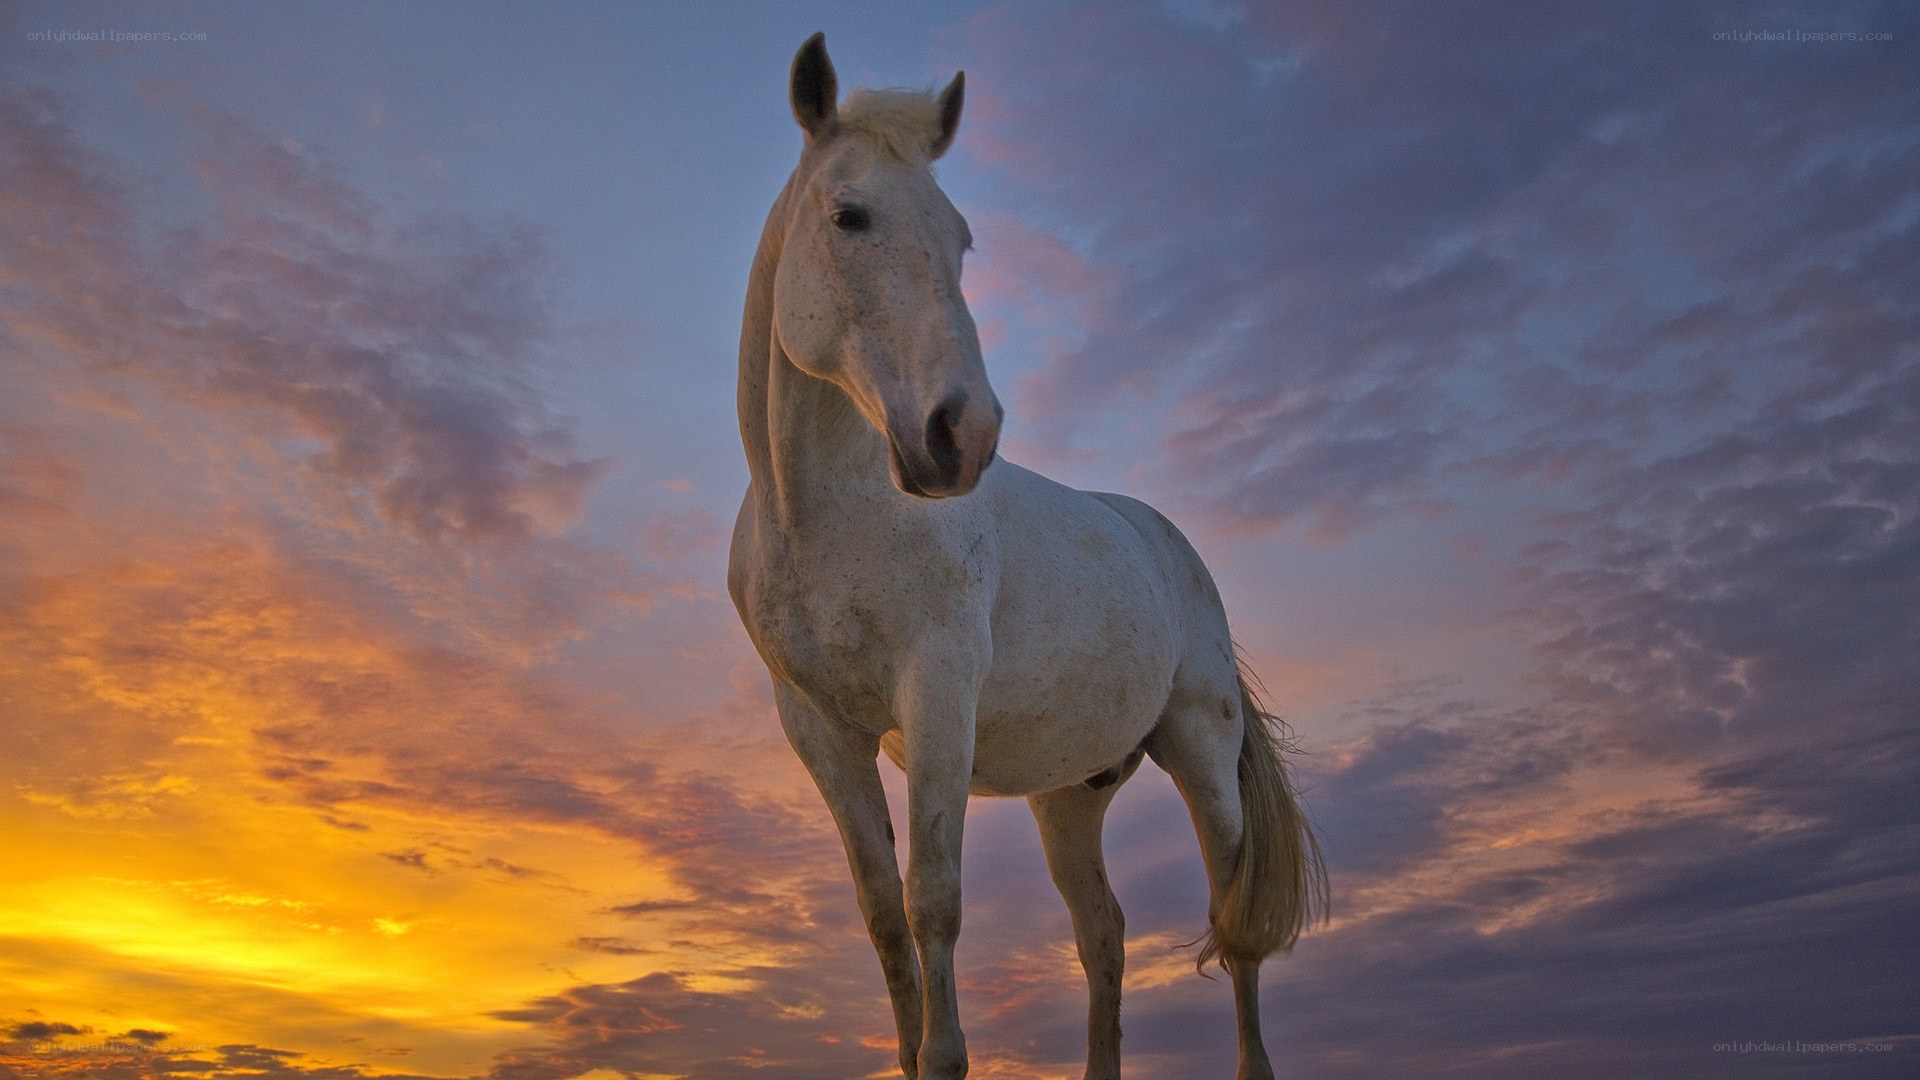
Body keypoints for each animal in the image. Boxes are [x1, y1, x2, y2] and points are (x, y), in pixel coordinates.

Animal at [727, 33, 1327, 1080]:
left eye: (963, 239)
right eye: (849, 215)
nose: (961, 435)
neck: (823, 518)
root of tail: (1167, 543)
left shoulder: (937, 700)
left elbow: (934, 901)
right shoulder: (819, 733)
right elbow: (884, 917)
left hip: (1201, 751)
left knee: (1234, 923)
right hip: (1067, 799)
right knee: (1104, 934)